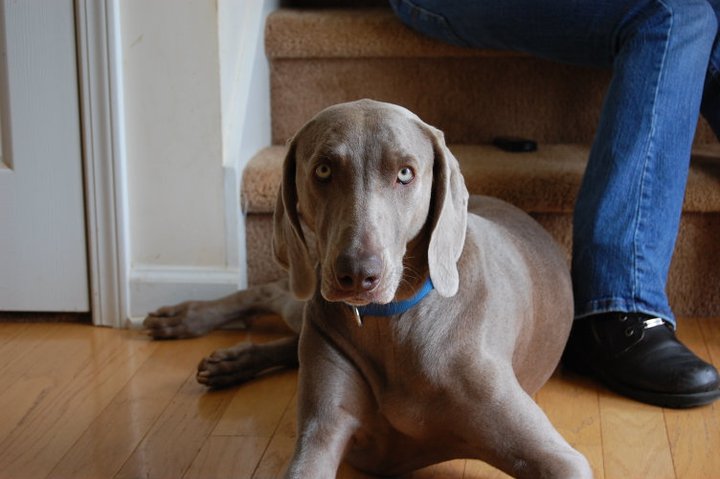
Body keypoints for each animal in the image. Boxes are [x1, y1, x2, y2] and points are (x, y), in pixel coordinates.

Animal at [145, 99, 592, 478]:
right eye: (323, 170)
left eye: (406, 173)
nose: (357, 275)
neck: (391, 324)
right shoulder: (320, 433)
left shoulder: (559, 459)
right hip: (310, 305)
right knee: (270, 295)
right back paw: (183, 319)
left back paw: (229, 359)